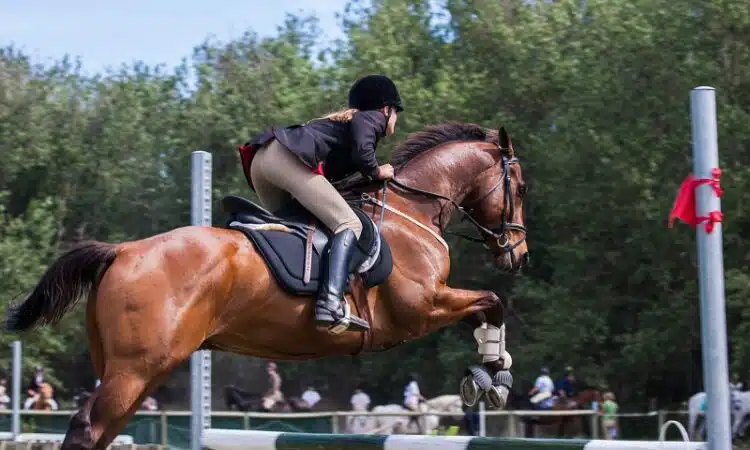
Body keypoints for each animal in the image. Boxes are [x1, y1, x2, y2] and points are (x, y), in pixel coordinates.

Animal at [4, 121, 528, 448]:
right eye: (519, 188)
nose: (517, 254)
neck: (410, 212)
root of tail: (123, 251)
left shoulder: (431, 306)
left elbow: (486, 308)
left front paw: (493, 369)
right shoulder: (420, 309)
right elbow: (492, 302)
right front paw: (492, 378)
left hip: (135, 371)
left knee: (104, 430)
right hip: (134, 369)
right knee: (87, 428)